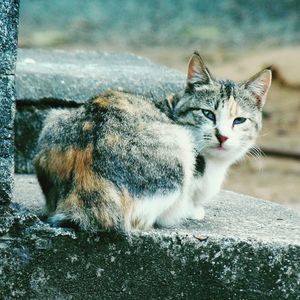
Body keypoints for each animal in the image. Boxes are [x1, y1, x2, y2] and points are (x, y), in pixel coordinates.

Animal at [33, 51, 272, 232]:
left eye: (239, 120)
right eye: (207, 114)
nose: (222, 136)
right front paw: (194, 210)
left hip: (54, 117)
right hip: (179, 146)